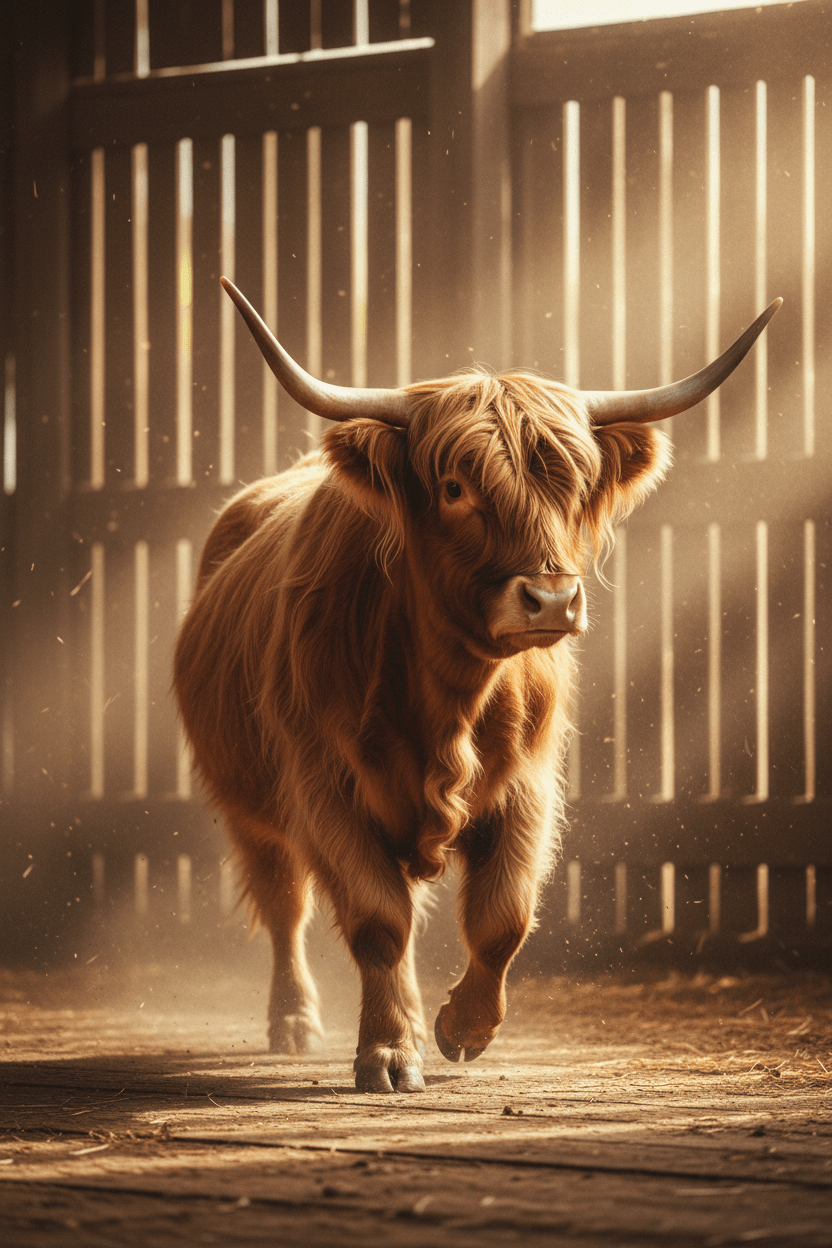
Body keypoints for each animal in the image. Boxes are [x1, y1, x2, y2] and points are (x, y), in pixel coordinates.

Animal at [174, 280, 780, 1093]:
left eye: (576, 486)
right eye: (455, 487)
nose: (551, 600)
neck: (447, 698)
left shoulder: (527, 784)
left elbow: (503, 917)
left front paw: (460, 1027)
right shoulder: (324, 788)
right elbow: (378, 920)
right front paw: (389, 1052)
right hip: (249, 808)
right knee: (285, 908)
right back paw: (294, 1022)